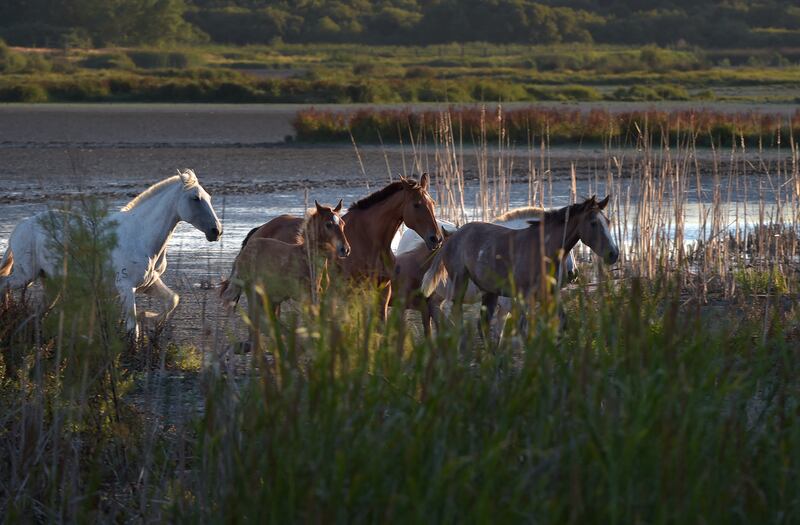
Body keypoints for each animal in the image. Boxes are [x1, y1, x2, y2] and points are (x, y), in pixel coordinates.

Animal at [0, 169, 222, 340]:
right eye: (195, 198)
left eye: (209, 198)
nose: (216, 231)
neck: (140, 235)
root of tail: (23, 225)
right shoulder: (126, 286)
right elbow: (133, 328)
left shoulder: (149, 283)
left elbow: (172, 300)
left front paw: (150, 318)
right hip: (25, 275)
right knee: (5, 284)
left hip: (50, 283)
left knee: (37, 312)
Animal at [238, 174, 444, 318]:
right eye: (417, 204)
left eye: (433, 203)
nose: (436, 238)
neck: (368, 240)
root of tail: (260, 230)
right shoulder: (349, 294)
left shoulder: (383, 292)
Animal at [422, 195, 620, 336]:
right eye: (593, 223)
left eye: (608, 222)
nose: (614, 253)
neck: (540, 248)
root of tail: (452, 237)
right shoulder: (523, 297)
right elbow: (525, 330)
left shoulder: (550, 295)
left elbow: (560, 325)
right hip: (458, 286)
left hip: (489, 292)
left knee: (480, 325)